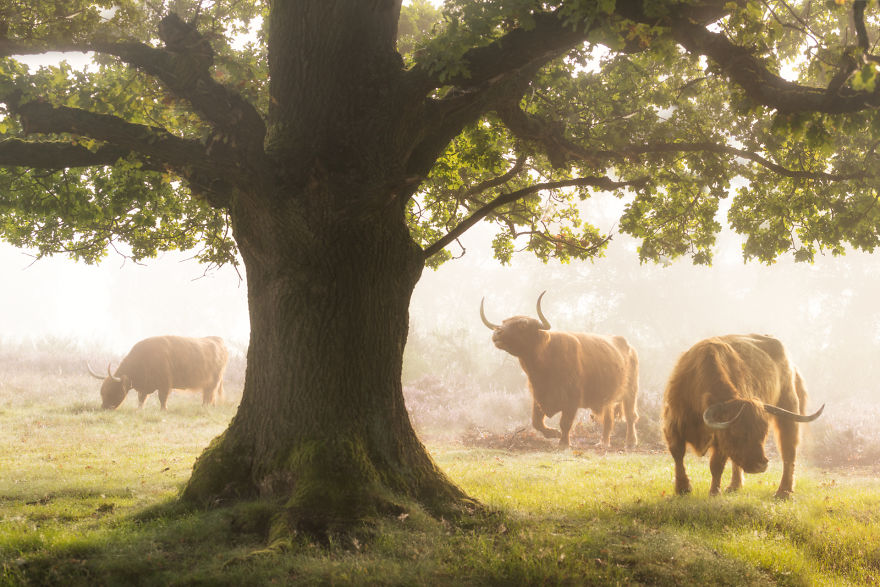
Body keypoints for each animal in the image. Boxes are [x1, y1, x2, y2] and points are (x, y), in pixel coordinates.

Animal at [87, 334, 227, 412]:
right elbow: (141, 398)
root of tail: (218, 340)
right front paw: (139, 409)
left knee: (209, 395)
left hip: (214, 380)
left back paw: (205, 407)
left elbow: (162, 398)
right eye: (102, 392)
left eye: (113, 391)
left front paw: (163, 410)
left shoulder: (165, 384)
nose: (104, 407)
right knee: (209, 395)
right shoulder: (144, 387)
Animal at [482, 292, 640, 448]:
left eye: (522, 324)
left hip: (630, 391)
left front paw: (563, 443)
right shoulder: (538, 398)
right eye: (504, 322)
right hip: (608, 396)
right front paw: (553, 433)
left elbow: (565, 423)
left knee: (631, 416)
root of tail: (629, 346)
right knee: (609, 419)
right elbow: (536, 422)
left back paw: (630, 442)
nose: (497, 333)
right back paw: (603, 443)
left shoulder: (571, 400)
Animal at [668, 338, 824, 498]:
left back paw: (783, 492)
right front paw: (683, 488)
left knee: (788, 452)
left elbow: (716, 465)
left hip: (788, 412)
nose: (761, 464)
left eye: (763, 433)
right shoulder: (672, 425)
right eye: (736, 432)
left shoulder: (720, 440)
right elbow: (678, 455)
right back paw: (734, 486)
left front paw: (714, 492)